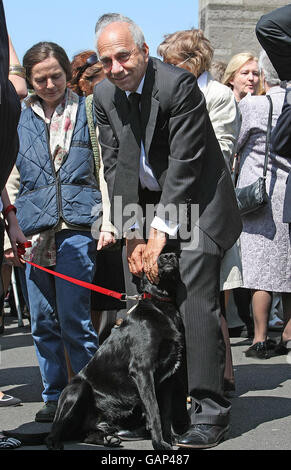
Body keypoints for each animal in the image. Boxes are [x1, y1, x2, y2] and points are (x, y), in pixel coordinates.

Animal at [46, 252, 188, 450]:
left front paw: (171, 438)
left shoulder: (168, 377)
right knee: (54, 432)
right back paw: (56, 442)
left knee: (85, 434)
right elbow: (154, 411)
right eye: (151, 256)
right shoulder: (143, 370)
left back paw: (108, 438)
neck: (160, 305)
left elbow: (166, 413)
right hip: (77, 390)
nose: (168, 256)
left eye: (173, 253)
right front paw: (160, 444)